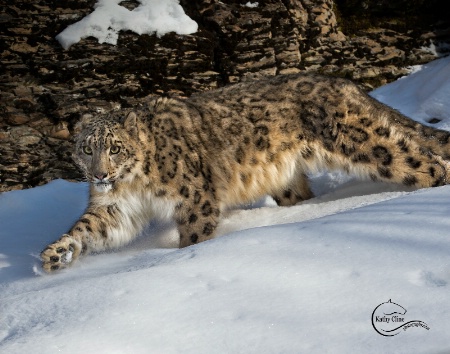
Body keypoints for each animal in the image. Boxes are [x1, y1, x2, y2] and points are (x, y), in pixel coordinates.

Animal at [41, 73, 450, 272]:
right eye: (87, 148)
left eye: (115, 148)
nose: (99, 176)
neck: (131, 181)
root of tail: (344, 82)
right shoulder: (117, 207)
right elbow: (90, 227)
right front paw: (57, 254)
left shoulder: (194, 199)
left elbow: (193, 236)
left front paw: (182, 258)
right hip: (287, 181)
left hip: (361, 141)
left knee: (424, 161)